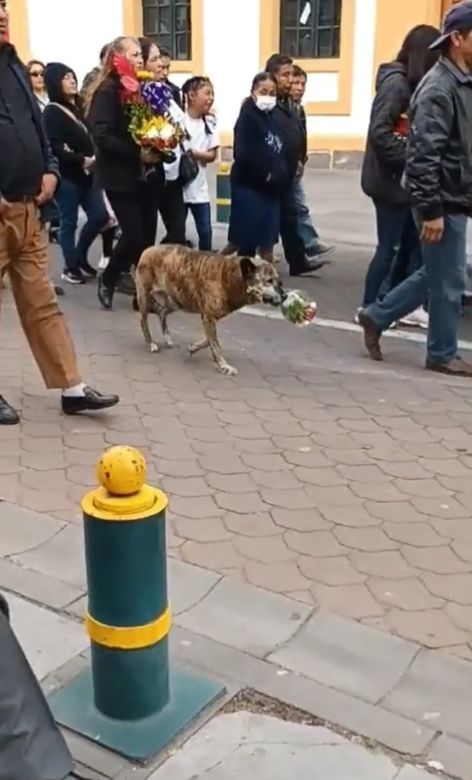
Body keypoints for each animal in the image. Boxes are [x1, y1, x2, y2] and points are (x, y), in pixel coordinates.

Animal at [135, 245, 286, 376]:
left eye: (279, 281)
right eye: (269, 280)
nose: (285, 296)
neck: (231, 277)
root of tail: (149, 249)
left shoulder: (208, 318)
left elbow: (208, 340)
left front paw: (193, 348)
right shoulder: (208, 317)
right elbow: (215, 343)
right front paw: (224, 365)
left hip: (177, 301)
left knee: (161, 312)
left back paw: (167, 339)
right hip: (145, 297)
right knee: (143, 320)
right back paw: (150, 343)